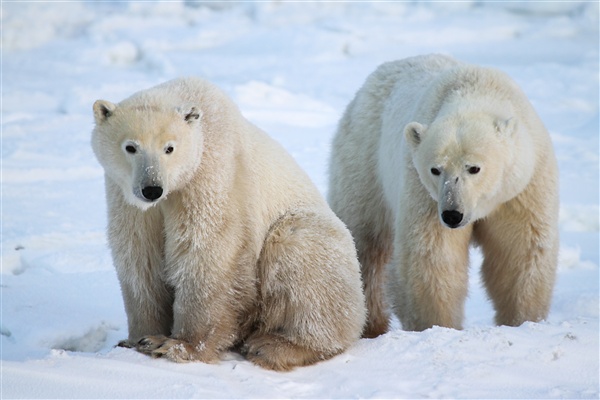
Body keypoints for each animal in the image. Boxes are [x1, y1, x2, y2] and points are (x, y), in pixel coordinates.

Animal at [92, 76, 368, 370]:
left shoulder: (213, 173)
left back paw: (274, 346)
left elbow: (206, 251)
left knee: (298, 251)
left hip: (317, 243)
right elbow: (140, 256)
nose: (152, 189)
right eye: (130, 147)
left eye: (169, 148)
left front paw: (178, 345)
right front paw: (139, 339)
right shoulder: (127, 198)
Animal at [328, 54, 556, 336]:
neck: (476, 92)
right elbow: (432, 257)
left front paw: (523, 321)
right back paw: (371, 324)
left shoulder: (521, 189)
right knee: (365, 242)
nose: (452, 215)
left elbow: (520, 252)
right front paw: (438, 326)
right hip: (365, 160)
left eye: (474, 167)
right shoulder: (424, 191)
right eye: (435, 169)